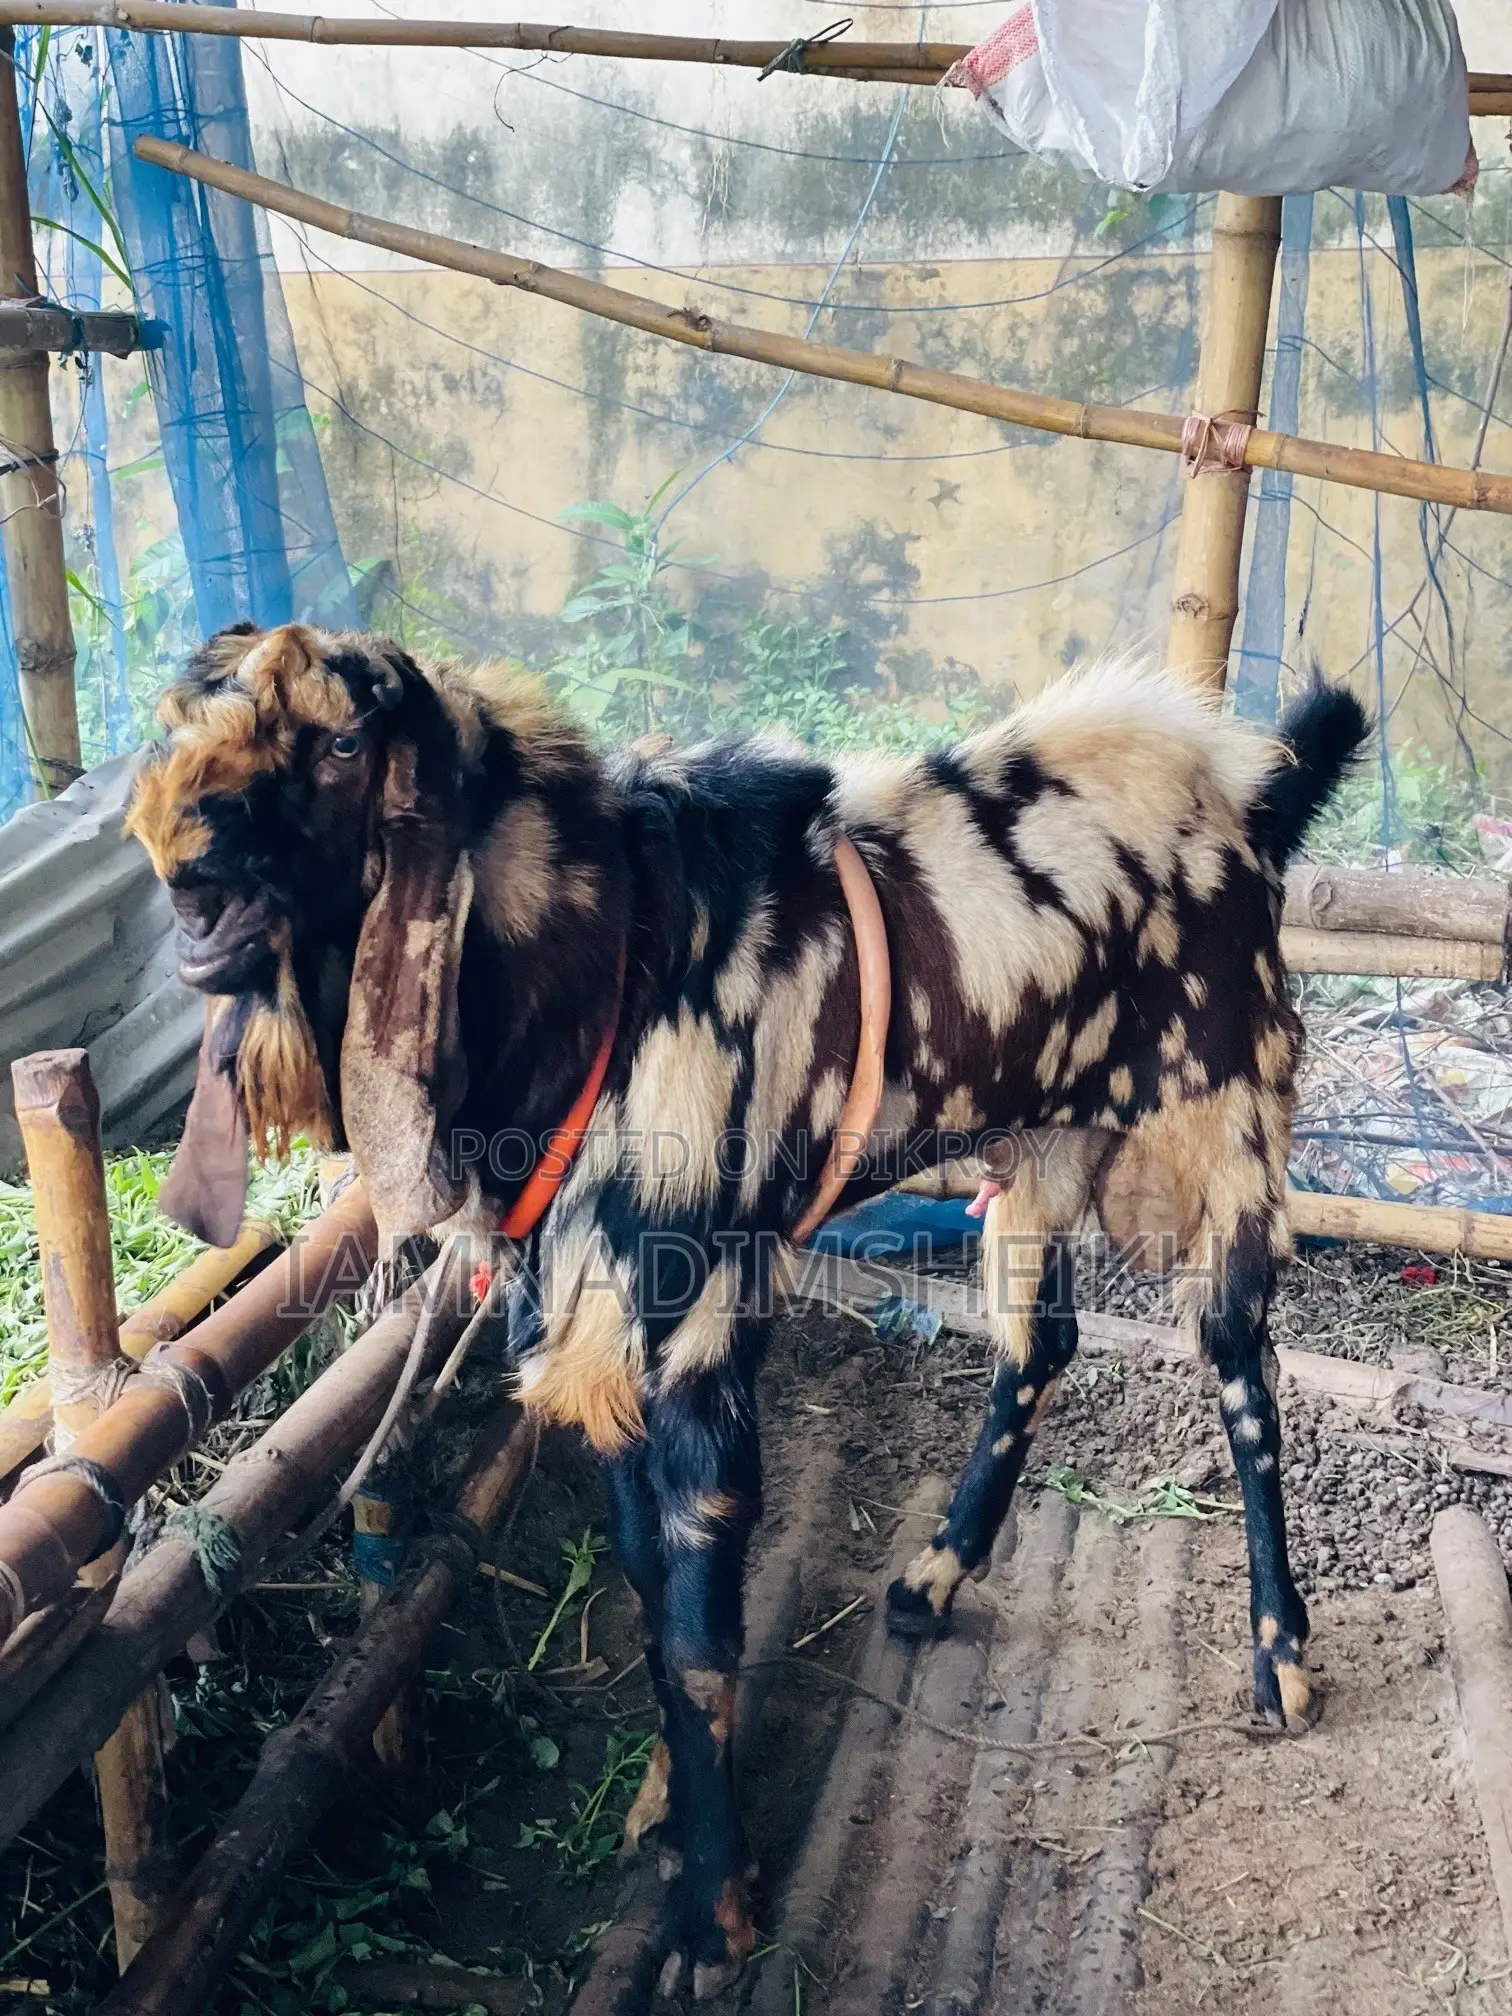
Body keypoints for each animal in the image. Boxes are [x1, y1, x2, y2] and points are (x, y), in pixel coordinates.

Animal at [127, 623, 1367, 1998]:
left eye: (346, 742)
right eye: (179, 725)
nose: (181, 853)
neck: (604, 979)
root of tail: (1248, 793)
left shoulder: (699, 1338)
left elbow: (702, 1638)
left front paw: (712, 1920)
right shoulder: (601, 1346)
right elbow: (650, 1610)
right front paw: (673, 1812)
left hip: (1225, 1121)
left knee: (1243, 1375)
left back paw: (1279, 1654)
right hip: (1035, 1153)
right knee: (1041, 1345)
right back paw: (934, 1578)